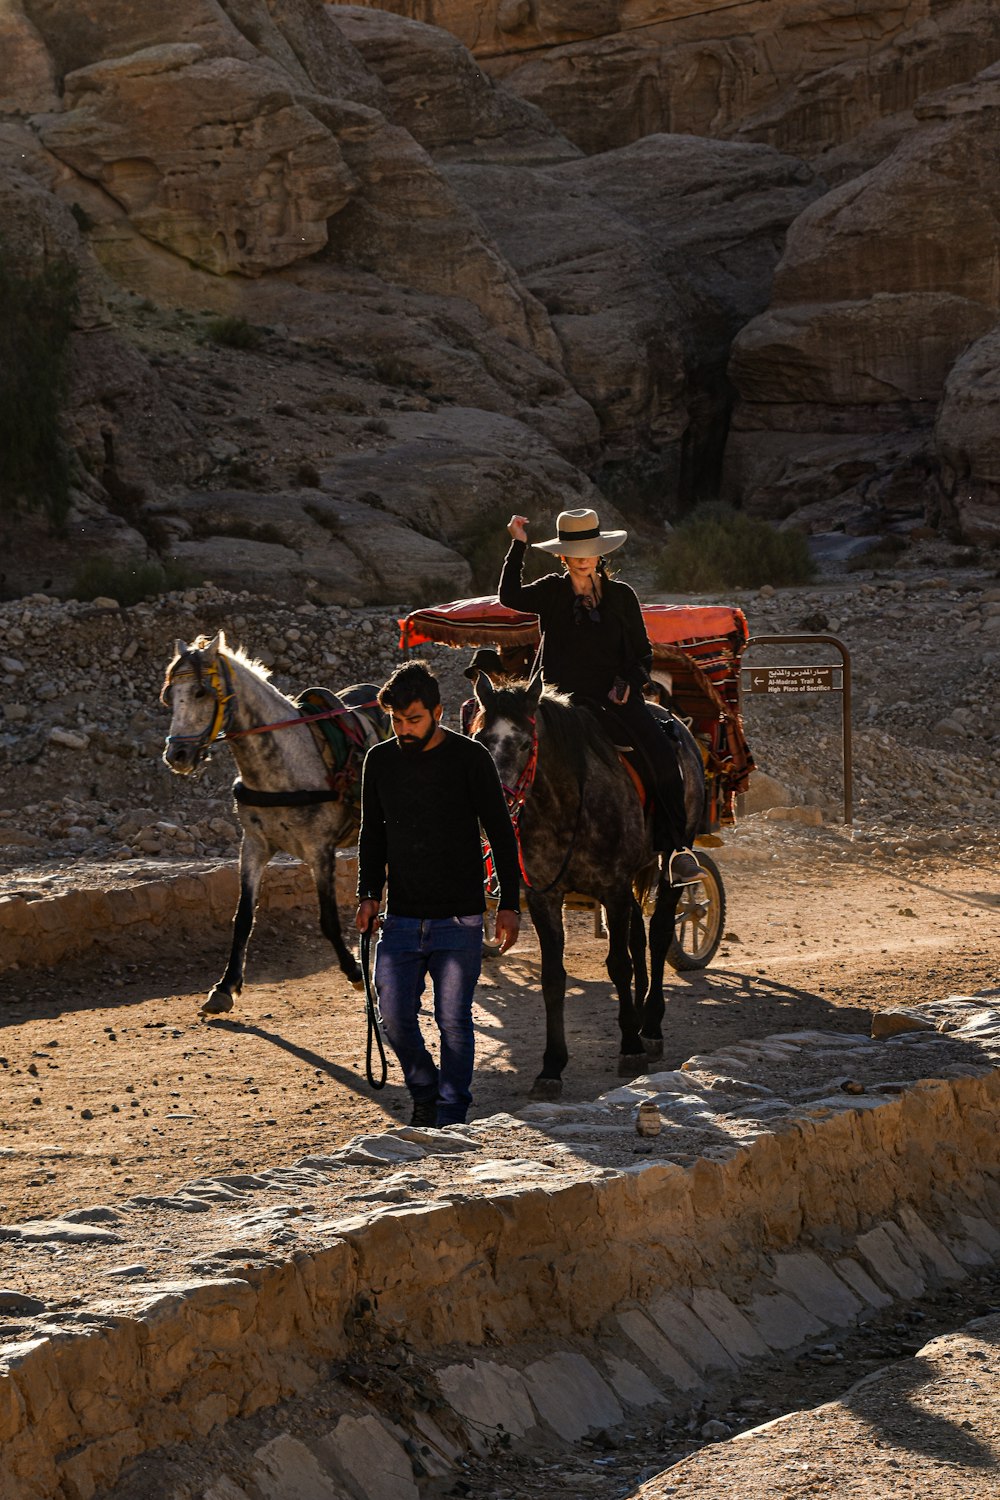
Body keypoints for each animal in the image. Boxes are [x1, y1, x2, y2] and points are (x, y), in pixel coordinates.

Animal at [160, 633, 386, 1020]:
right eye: (170, 695)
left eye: (202, 692)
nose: (178, 755)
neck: (286, 759)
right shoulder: (253, 846)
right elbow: (243, 918)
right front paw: (225, 986)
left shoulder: (319, 851)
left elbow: (328, 919)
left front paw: (355, 971)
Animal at [476, 675, 704, 1098]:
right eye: (480, 738)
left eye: (525, 743)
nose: (492, 806)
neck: (563, 805)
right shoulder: (545, 897)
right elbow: (553, 978)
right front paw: (551, 1066)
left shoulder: (612, 889)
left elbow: (618, 964)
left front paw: (630, 1048)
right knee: (637, 937)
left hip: (668, 863)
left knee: (659, 933)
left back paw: (650, 1026)